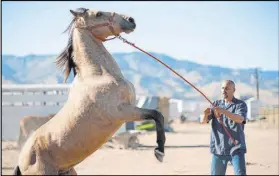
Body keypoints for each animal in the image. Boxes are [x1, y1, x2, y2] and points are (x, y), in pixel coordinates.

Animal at [13, 7, 166, 175]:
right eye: (98, 14)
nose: (131, 20)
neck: (98, 75)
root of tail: (21, 161)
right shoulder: (122, 112)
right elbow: (156, 115)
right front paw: (159, 152)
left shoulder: (128, 110)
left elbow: (158, 116)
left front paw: (160, 151)